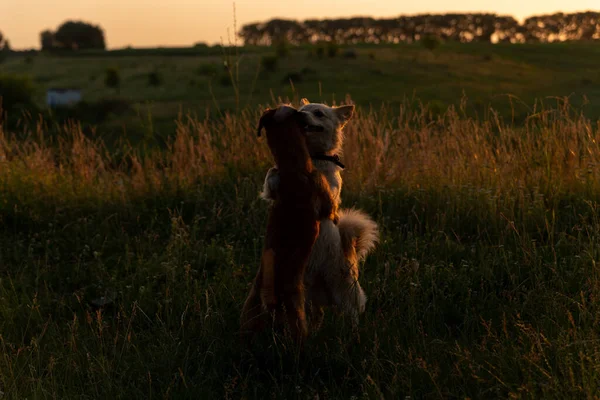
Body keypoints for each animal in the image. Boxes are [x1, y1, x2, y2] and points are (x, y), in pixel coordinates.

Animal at [240, 105, 338, 344]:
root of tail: (269, 292)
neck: (291, 167)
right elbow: (331, 210)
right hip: (296, 311)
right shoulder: (325, 202)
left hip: (250, 309)